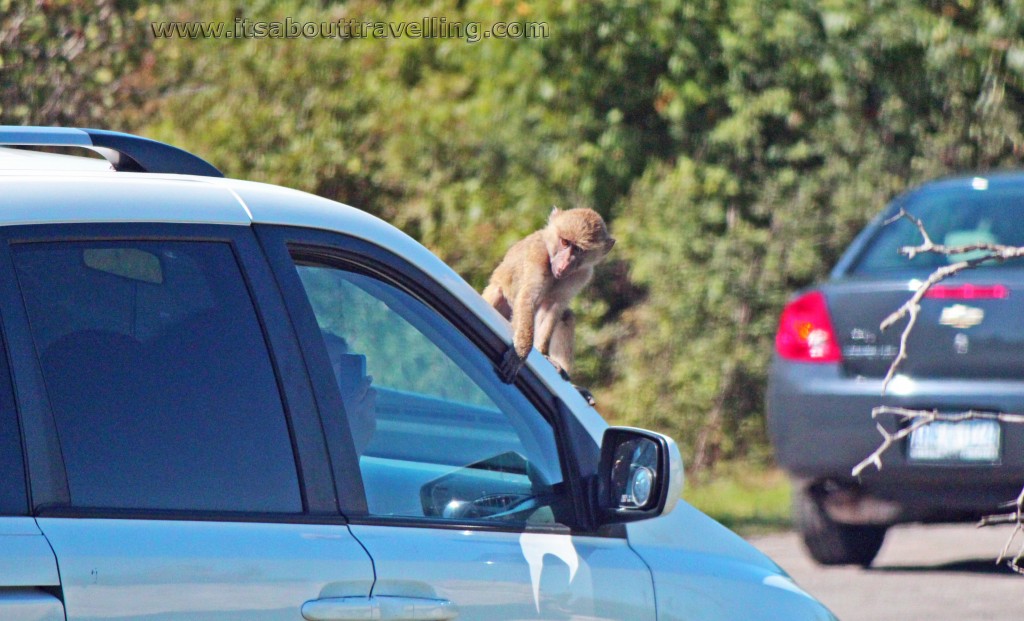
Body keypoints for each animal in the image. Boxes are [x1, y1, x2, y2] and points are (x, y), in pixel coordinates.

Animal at [481, 207, 614, 387]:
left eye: (578, 249)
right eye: (565, 242)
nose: (564, 264)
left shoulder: (582, 274)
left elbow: (553, 307)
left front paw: (541, 353)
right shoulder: (538, 253)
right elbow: (528, 298)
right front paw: (520, 353)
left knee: (566, 315)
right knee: (498, 293)